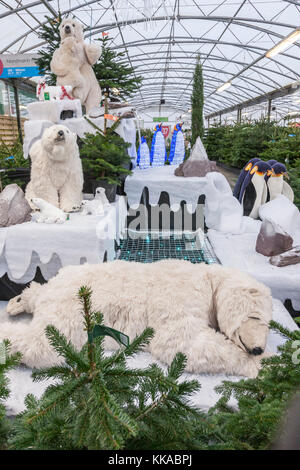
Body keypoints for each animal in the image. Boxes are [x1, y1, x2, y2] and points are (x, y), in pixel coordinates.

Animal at [0, 260, 274, 378]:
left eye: (268, 324)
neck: (208, 280)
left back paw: (18, 302)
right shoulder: (182, 296)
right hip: (73, 308)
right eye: (255, 316)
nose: (258, 349)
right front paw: (266, 362)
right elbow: (182, 343)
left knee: (39, 296)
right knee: (44, 342)